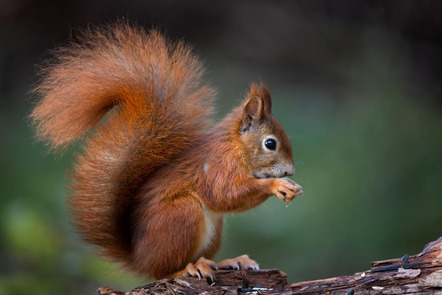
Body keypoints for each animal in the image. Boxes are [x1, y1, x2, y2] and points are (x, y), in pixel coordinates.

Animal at [30, 23, 300, 280]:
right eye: (270, 144)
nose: (290, 171)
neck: (235, 147)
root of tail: (139, 258)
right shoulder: (218, 166)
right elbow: (225, 194)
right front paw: (277, 186)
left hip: (213, 231)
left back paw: (228, 261)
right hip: (181, 214)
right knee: (162, 271)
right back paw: (187, 270)